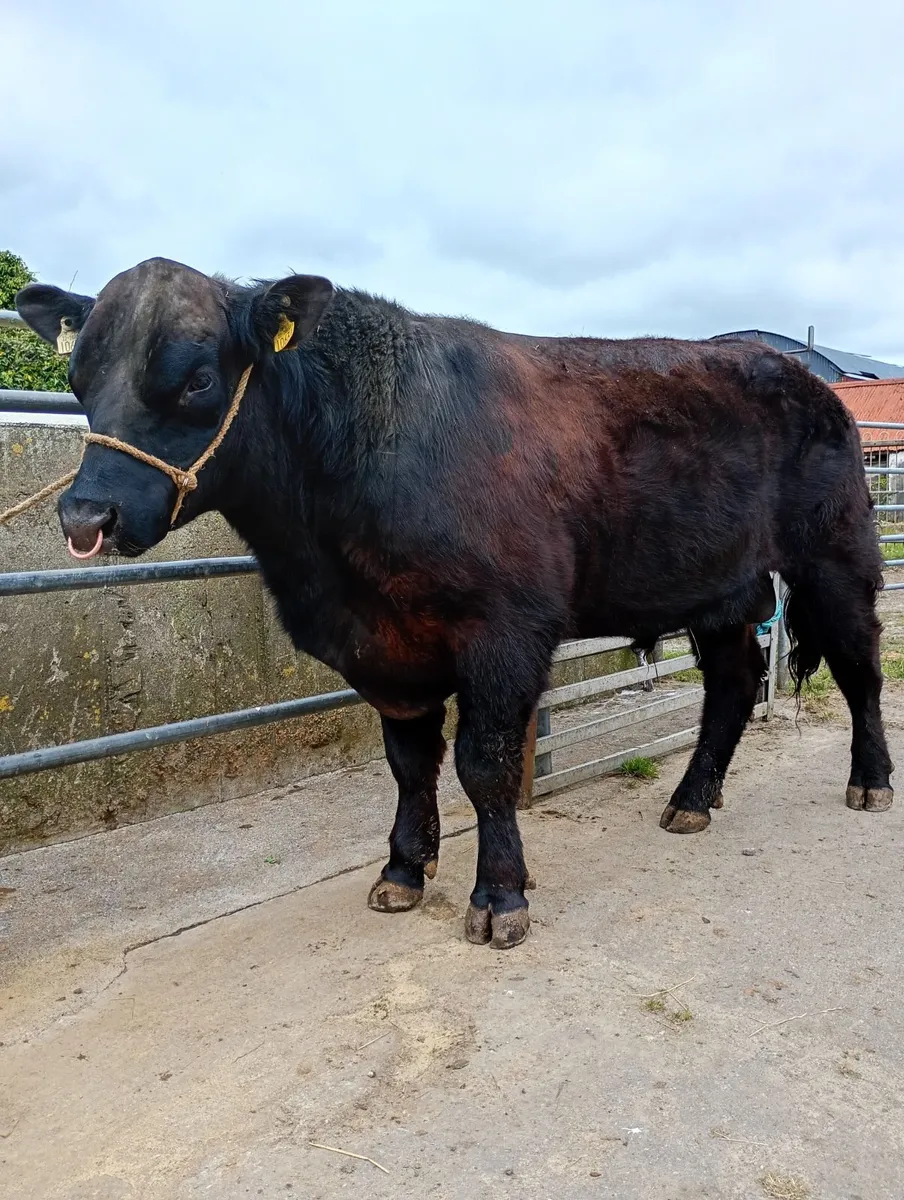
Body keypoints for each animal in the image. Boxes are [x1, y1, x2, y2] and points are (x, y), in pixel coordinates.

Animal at [16, 258, 894, 949]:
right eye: (78, 381)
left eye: (198, 378)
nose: (85, 517)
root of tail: (797, 374)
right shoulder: (384, 651)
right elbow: (410, 765)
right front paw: (404, 869)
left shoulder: (504, 634)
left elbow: (485, 765)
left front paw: (499, 896)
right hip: (720, 588)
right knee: (734, 685)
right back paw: (690, 801)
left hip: (836, 557)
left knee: (861, 670)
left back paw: (871, 783)